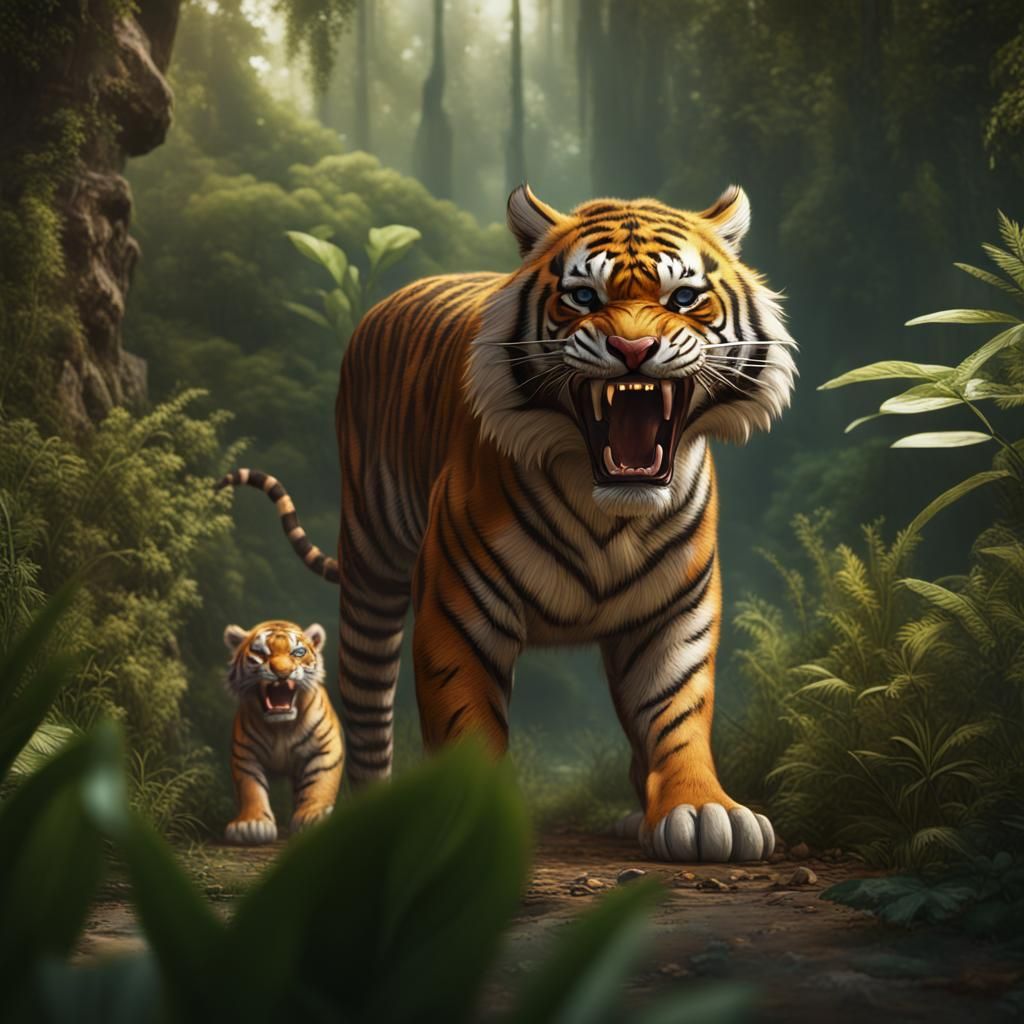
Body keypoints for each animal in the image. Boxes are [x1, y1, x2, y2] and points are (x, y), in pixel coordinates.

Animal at [222, 619, 343, 844]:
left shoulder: (325, 748)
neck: (281, 727)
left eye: (298, 652)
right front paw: (251, 824)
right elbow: (251, 788)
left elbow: (319, 783)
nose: (283, 672)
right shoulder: (245, 754)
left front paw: (313, 817)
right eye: (260, 652)